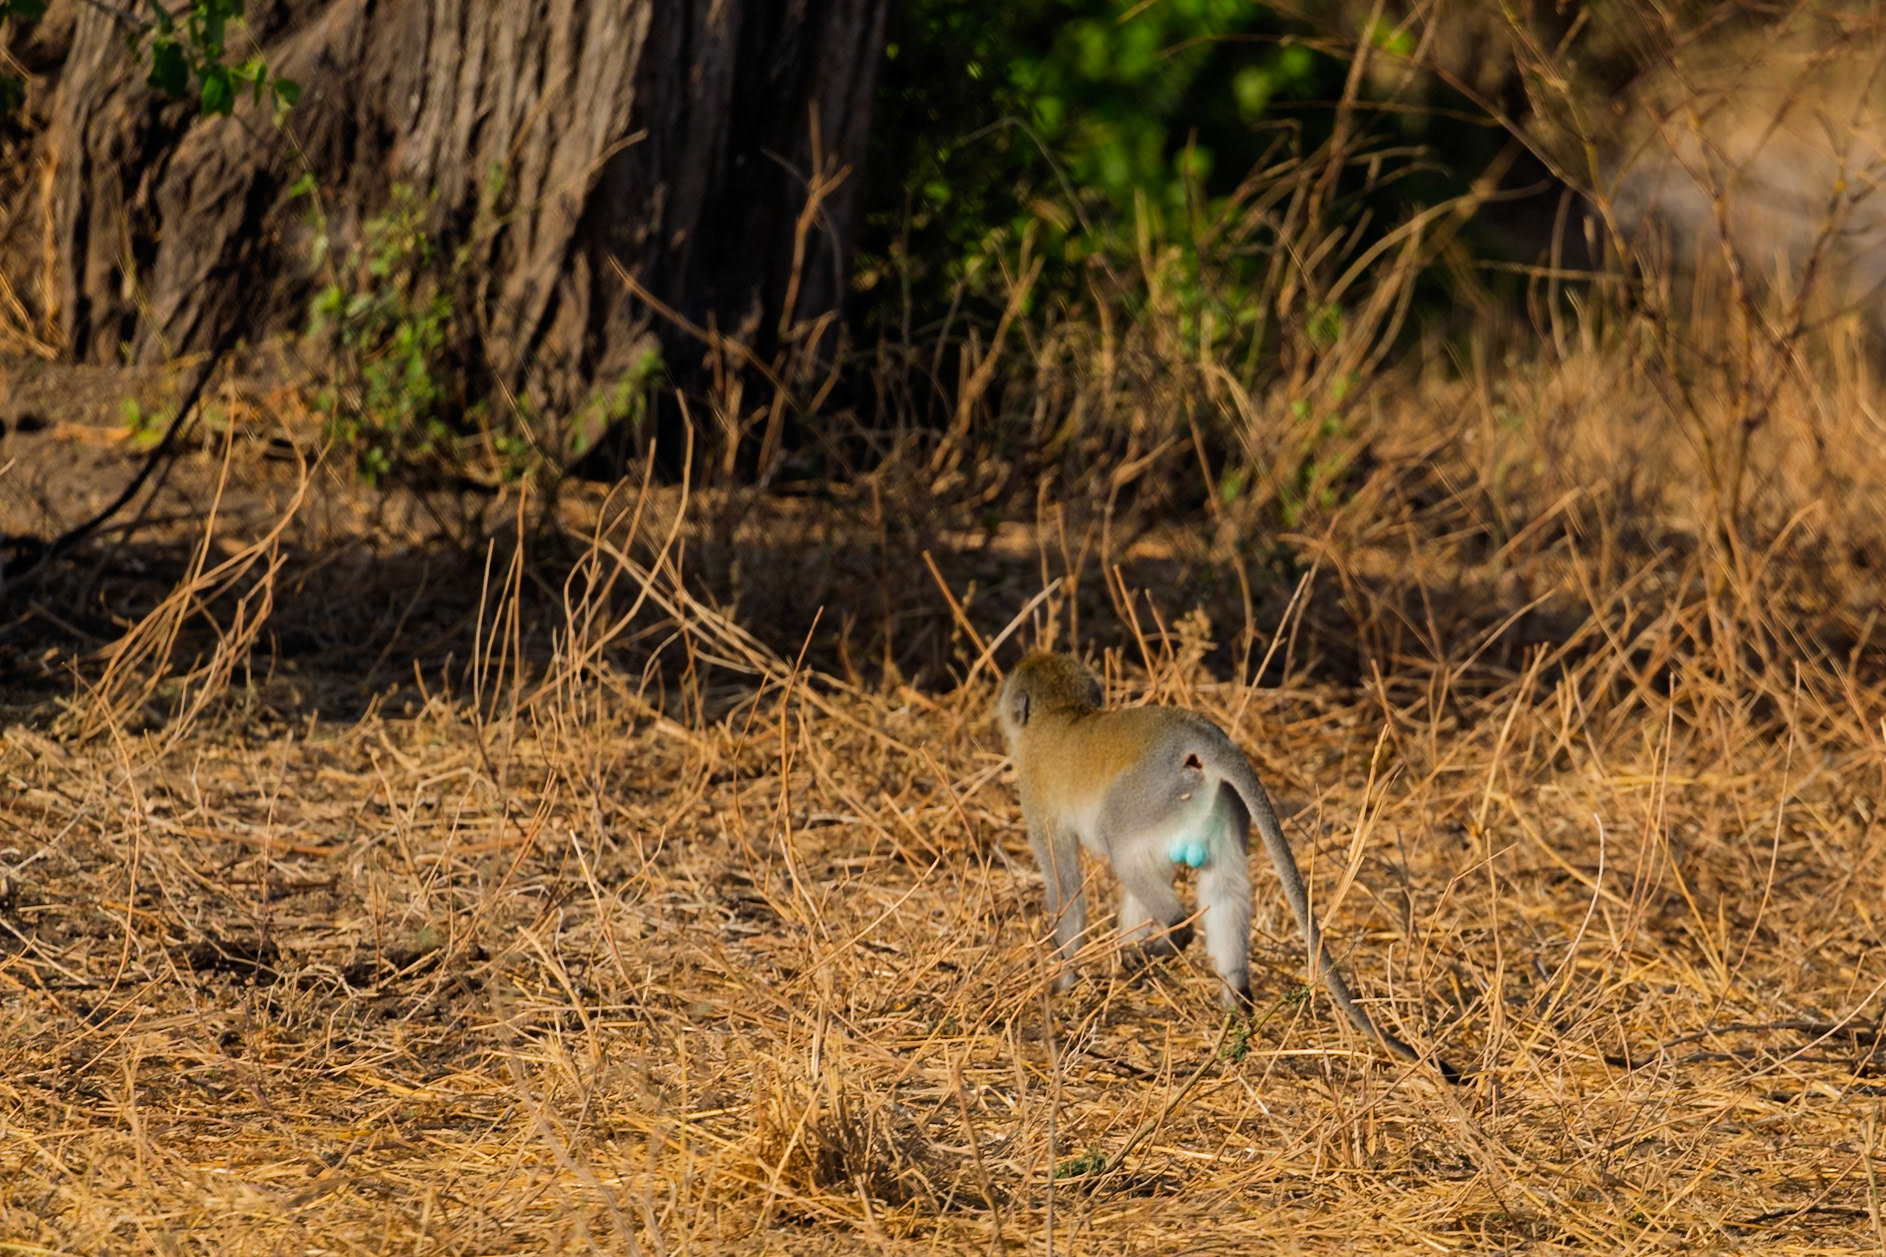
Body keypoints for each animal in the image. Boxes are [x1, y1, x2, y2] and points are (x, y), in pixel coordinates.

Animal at [998, 651, 1458, 1081]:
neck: (1061, 714)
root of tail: (1203, 739)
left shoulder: (1035, 796)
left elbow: (1067, 890)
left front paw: (1060, 985)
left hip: (1146, 794)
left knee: (1123, 850)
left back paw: (1172, 936)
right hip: (1220, 801)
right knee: (1225, 888)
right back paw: (1234, 1000)